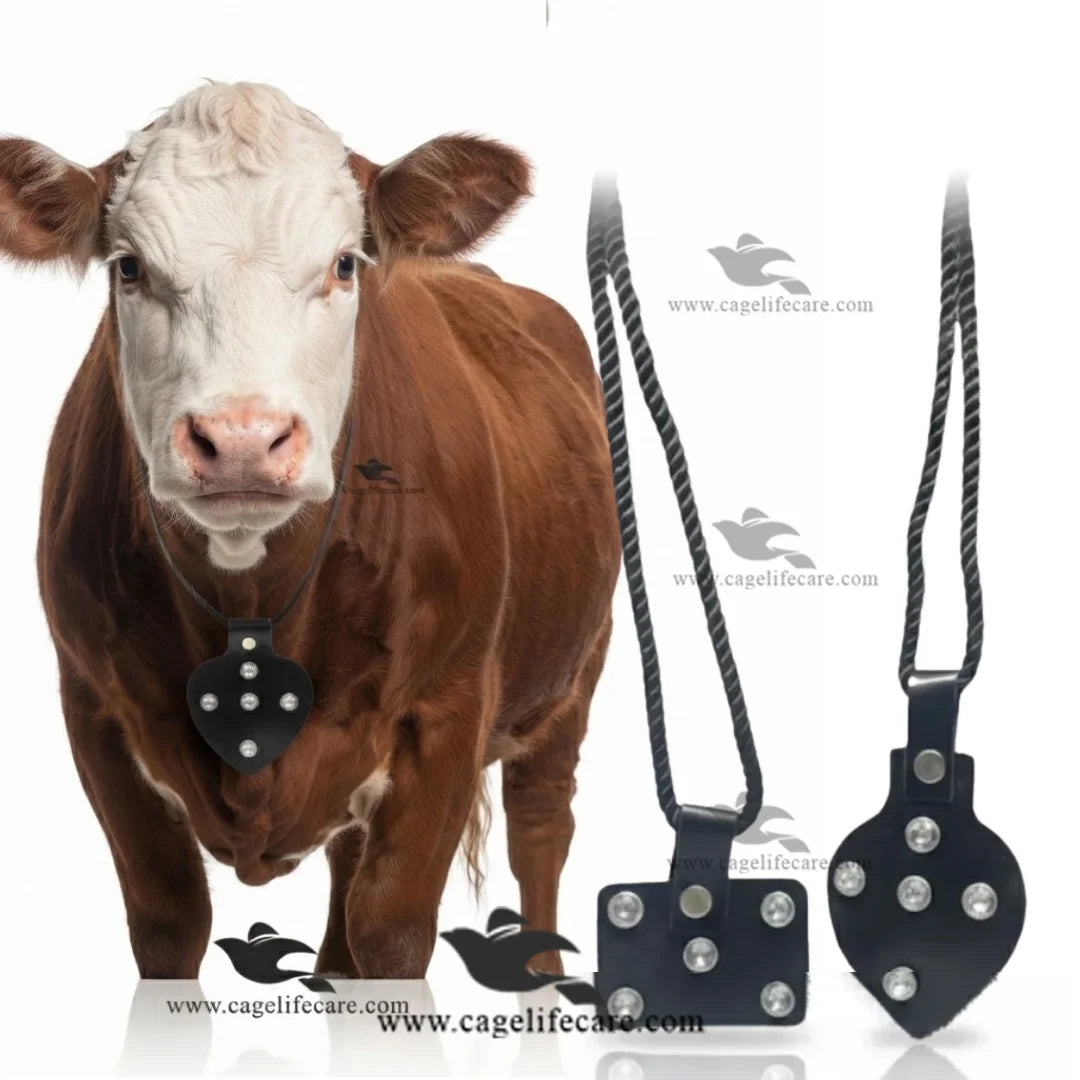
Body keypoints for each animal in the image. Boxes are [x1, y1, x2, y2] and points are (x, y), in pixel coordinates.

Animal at [0, 82, 620, 980]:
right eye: (130, 266)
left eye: (344, 263)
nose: (242, 439)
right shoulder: (94, 712)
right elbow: (169, 923)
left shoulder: (447, 711)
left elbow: (393, 931)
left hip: (575, 670)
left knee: (542, 825)